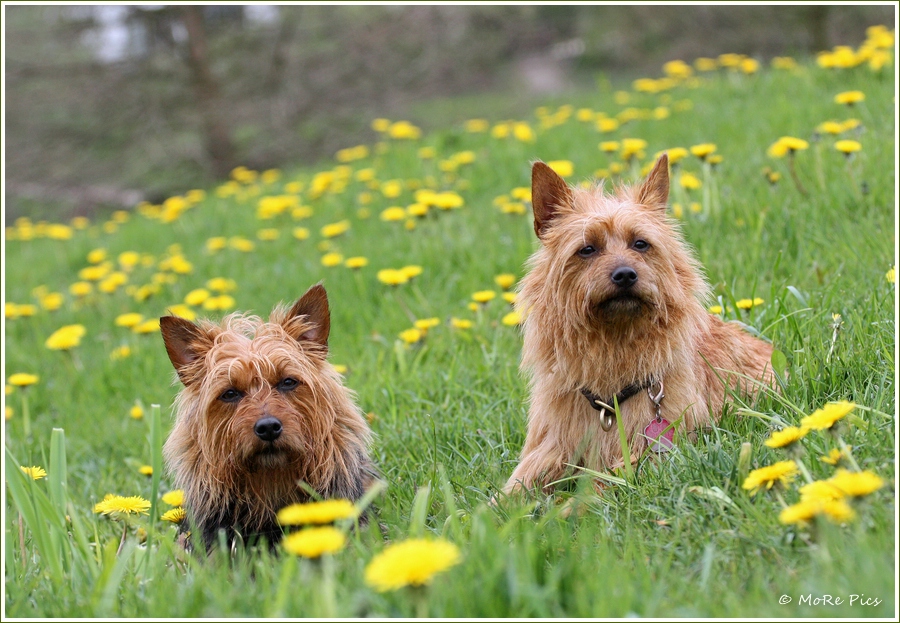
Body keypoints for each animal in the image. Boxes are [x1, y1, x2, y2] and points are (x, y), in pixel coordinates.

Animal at [502, 155, 776, 498]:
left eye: (641, 244)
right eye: (587, 249)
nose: (624, 275)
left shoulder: (648, 455)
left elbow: (595, 492)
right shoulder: (551, 446)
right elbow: (508, 492)